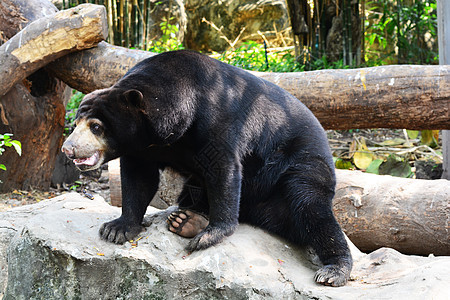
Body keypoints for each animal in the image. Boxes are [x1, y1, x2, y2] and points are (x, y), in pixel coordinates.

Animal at [62, 50, 352, 288]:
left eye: (96, 127)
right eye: (76, 123)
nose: (68, 149)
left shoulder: (213, 118)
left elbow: (223, 168)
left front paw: (210, 235)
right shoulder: (142, 147)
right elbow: (138, 179)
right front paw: (117, 228)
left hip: (301, 161)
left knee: (311, 208)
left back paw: (334, 270)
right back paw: (187, 220)